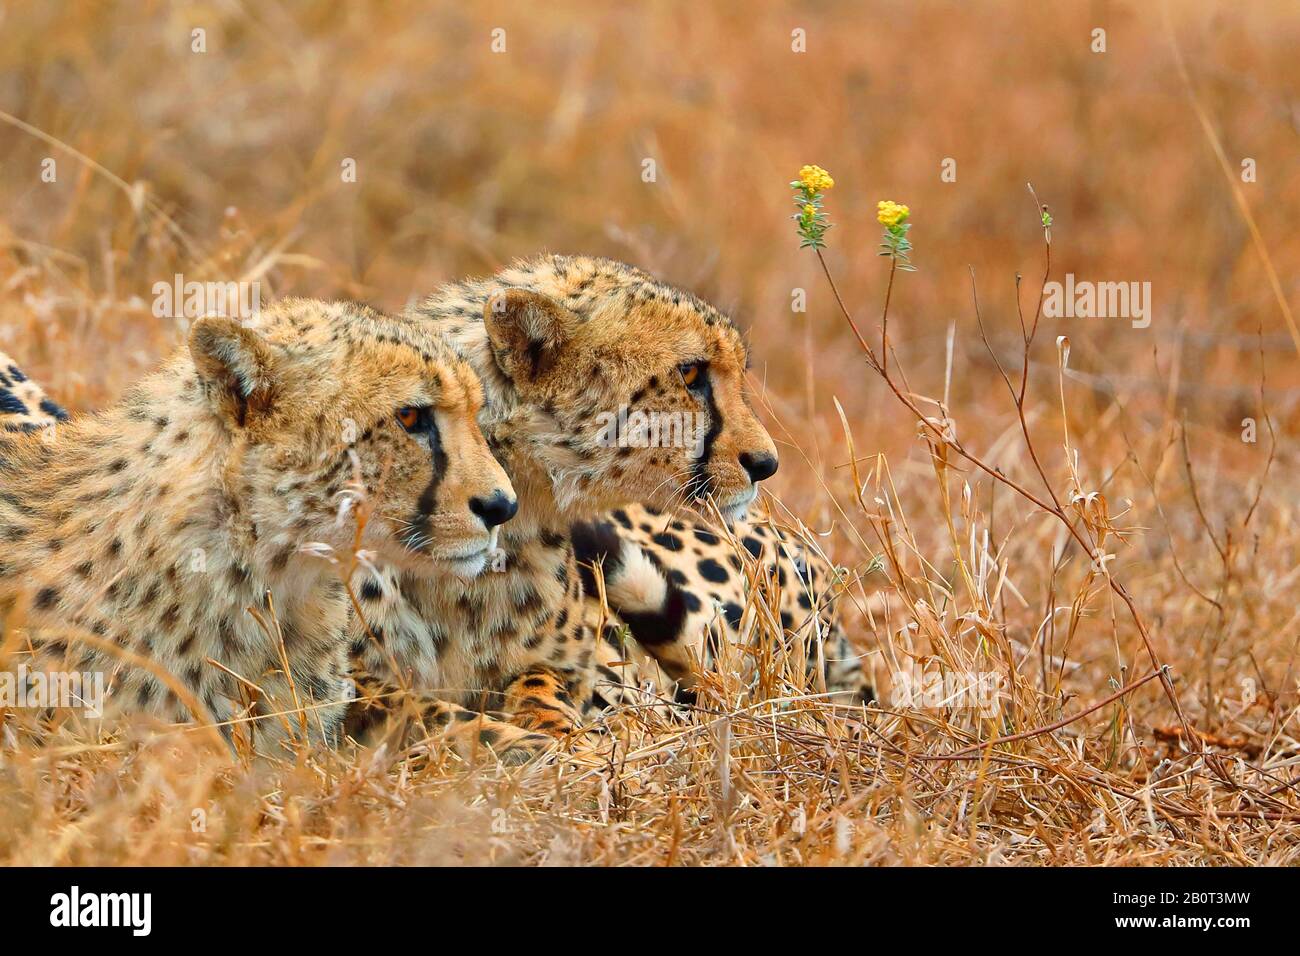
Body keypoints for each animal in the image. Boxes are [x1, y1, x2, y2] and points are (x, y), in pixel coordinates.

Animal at [348, 256, 790, 764]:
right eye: (691, 373)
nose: (766, 463)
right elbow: (427, 711)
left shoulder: (574, 661)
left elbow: (544, 684)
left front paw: (567, 736)